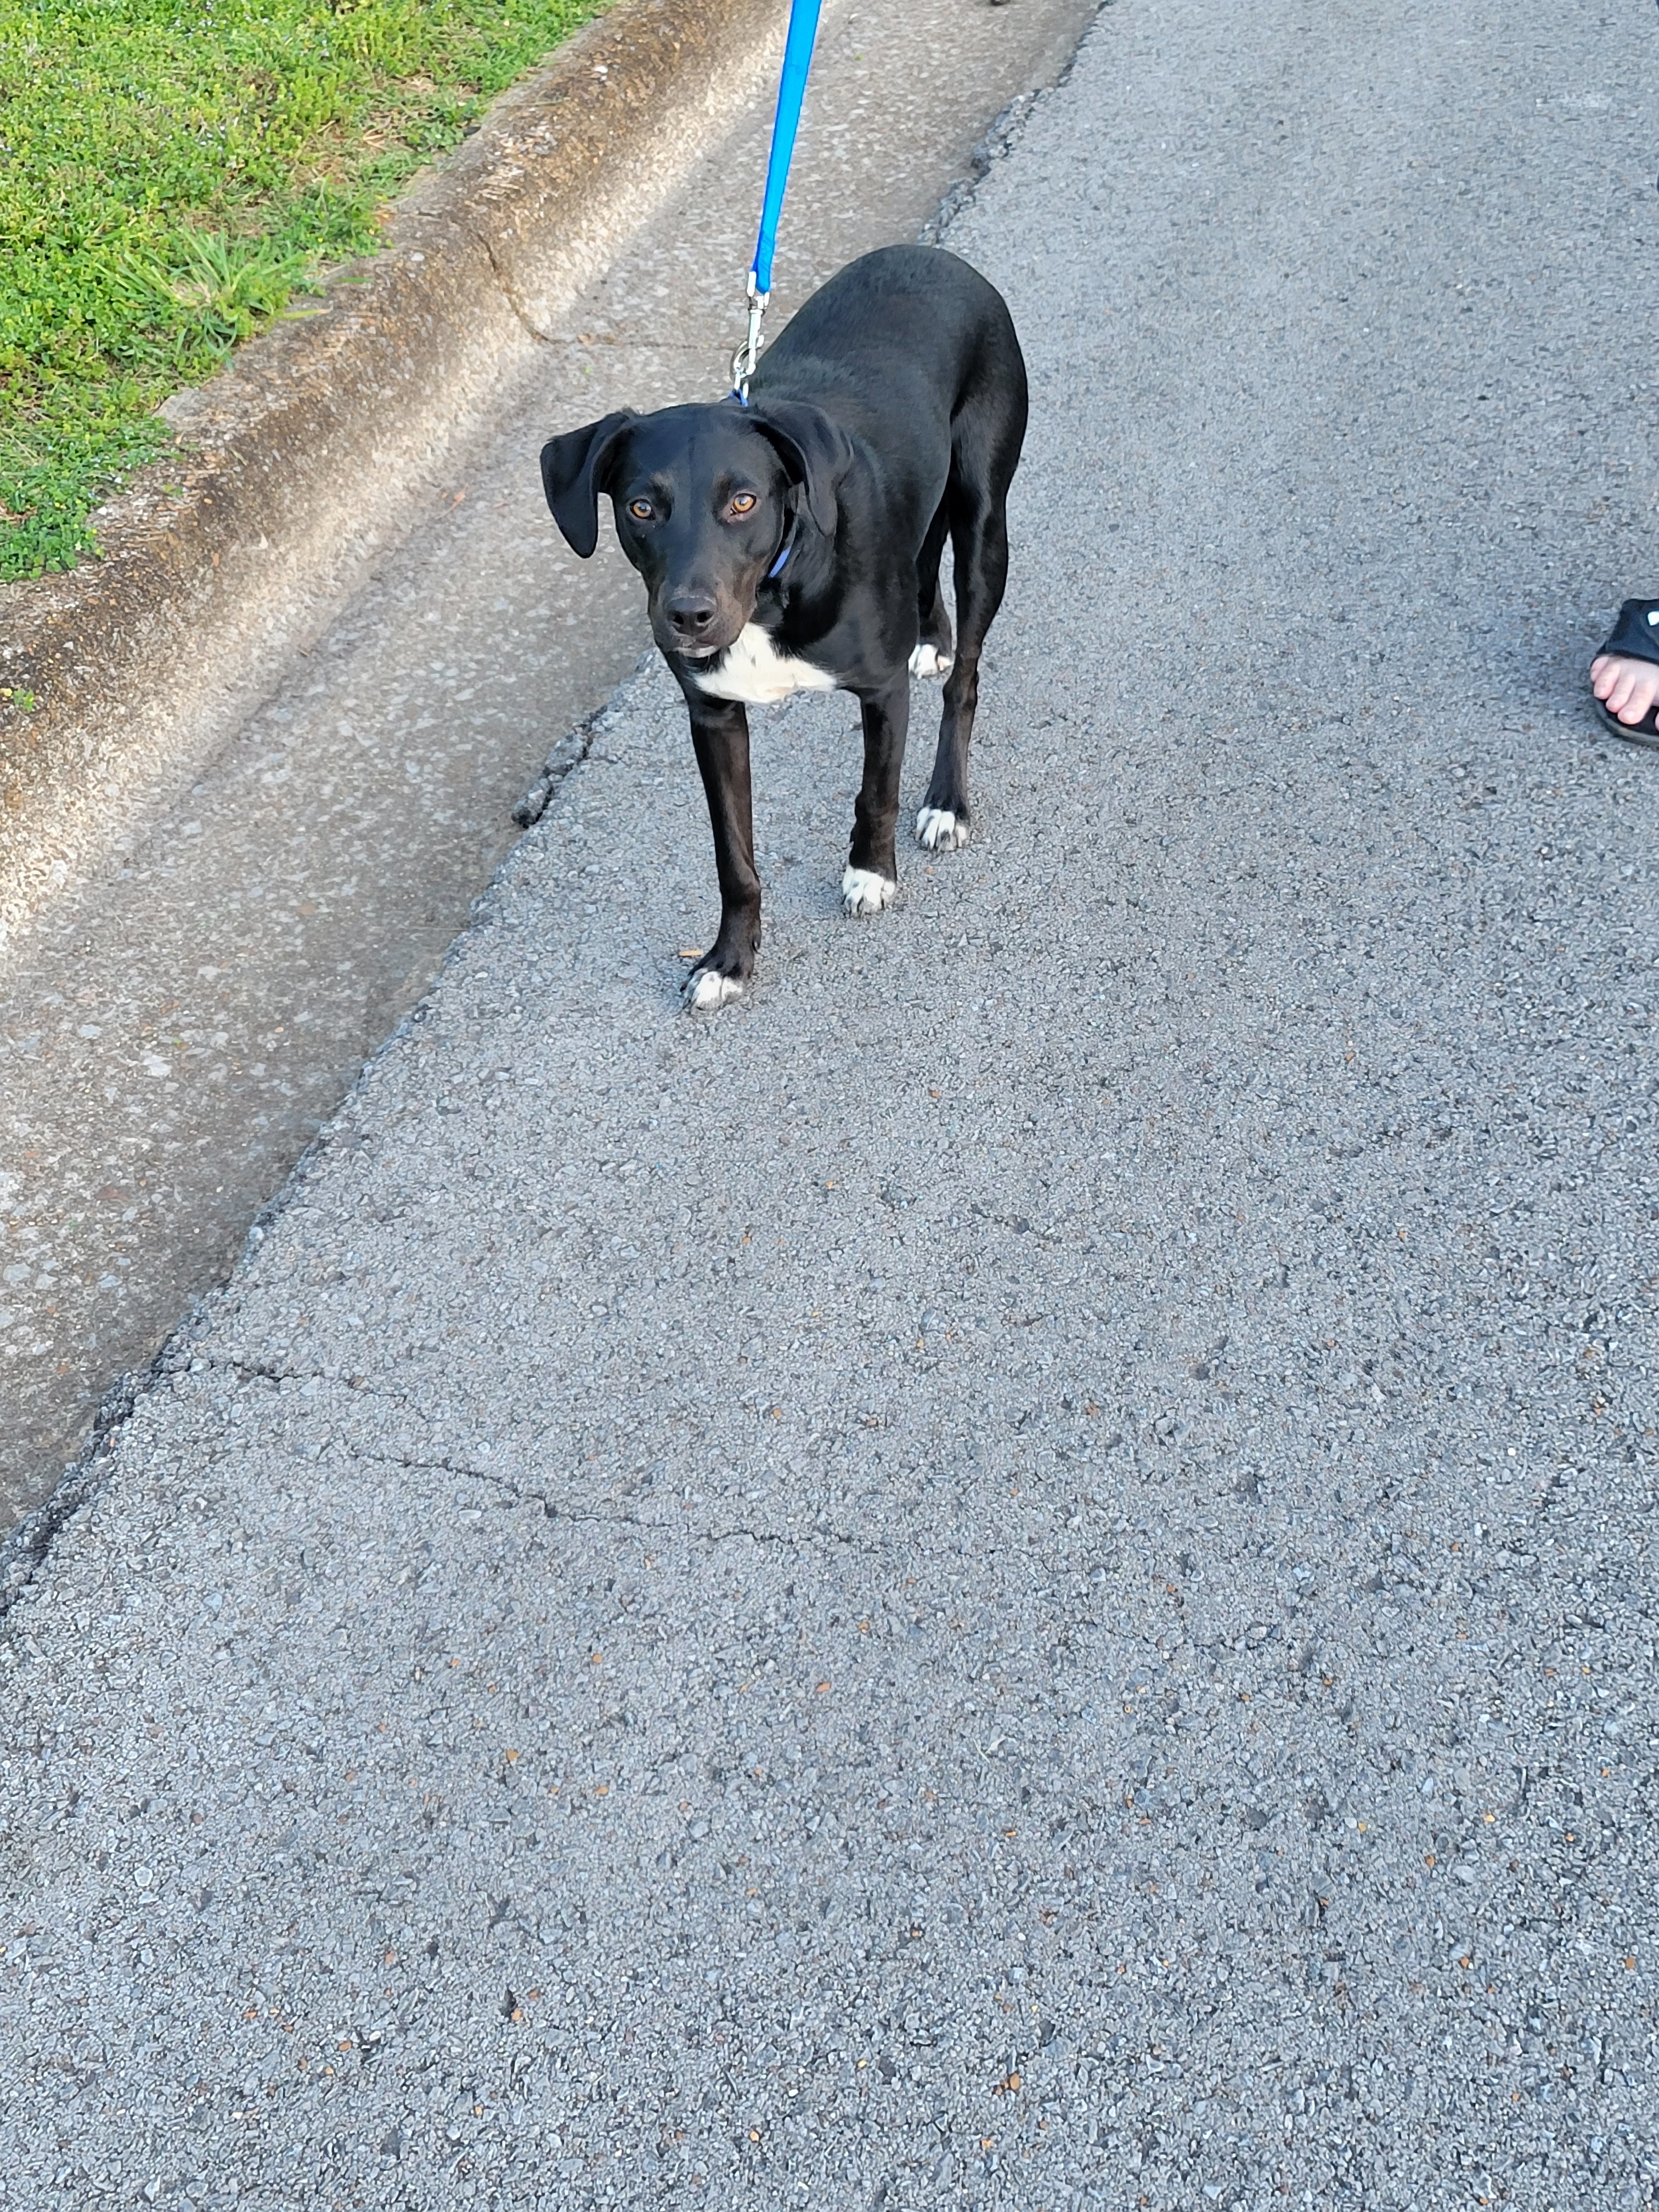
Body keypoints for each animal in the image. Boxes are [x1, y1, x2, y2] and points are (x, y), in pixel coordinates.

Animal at [541, 246, 1026, 1008]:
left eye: (744, 501)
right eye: (641, 508)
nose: (689, 616)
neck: (777, 587)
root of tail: (935, 255)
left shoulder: (881, 691)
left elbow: (877, 793)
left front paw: (871, 874)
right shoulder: (714, 716)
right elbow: (733, 856)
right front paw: (730, 958)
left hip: (984, 520)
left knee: (967, 679)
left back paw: (948, 800)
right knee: (923, 565)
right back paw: (931, 639)